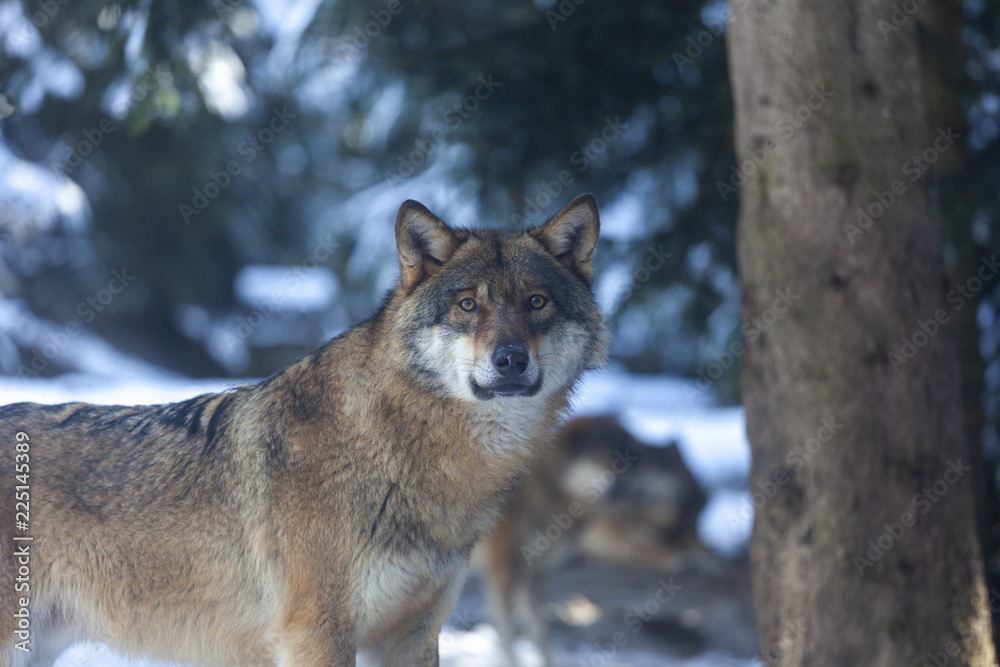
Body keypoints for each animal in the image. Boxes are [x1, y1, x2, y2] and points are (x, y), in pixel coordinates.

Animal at [0, 194, 608, 667]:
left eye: (536, 302)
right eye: (466, 305)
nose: (511, 360)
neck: (394, 450)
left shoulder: (414, 635)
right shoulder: (317, 633)